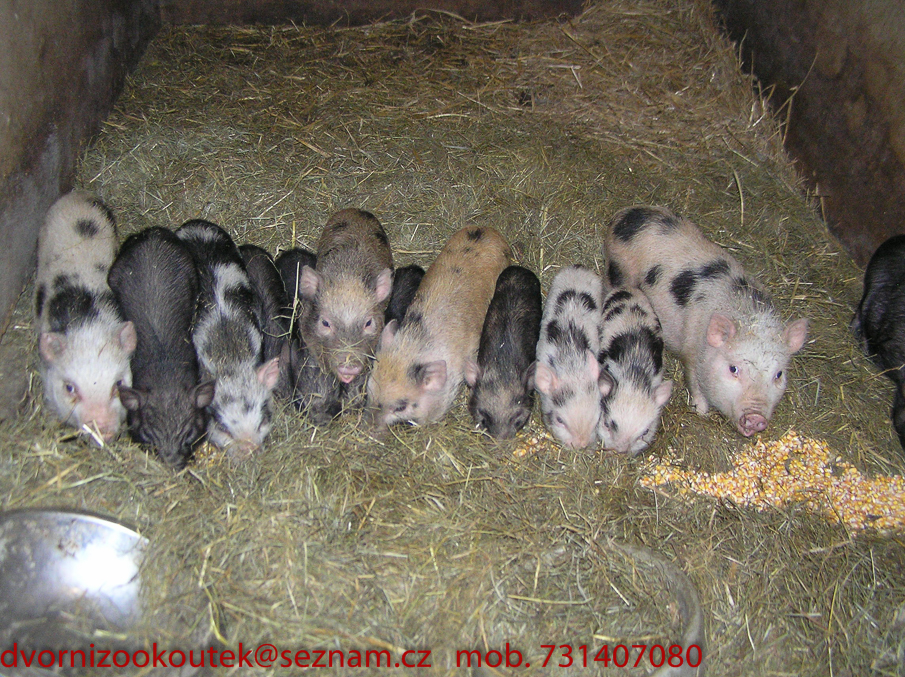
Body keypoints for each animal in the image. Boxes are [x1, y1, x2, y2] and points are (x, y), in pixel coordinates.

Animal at [605, 205, 809, 437]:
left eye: (779, 374)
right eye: (733, 369)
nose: (756, 417)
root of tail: (627, 213)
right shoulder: (692, 351)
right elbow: (694, 382)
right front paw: (701, 411)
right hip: (617, 269)